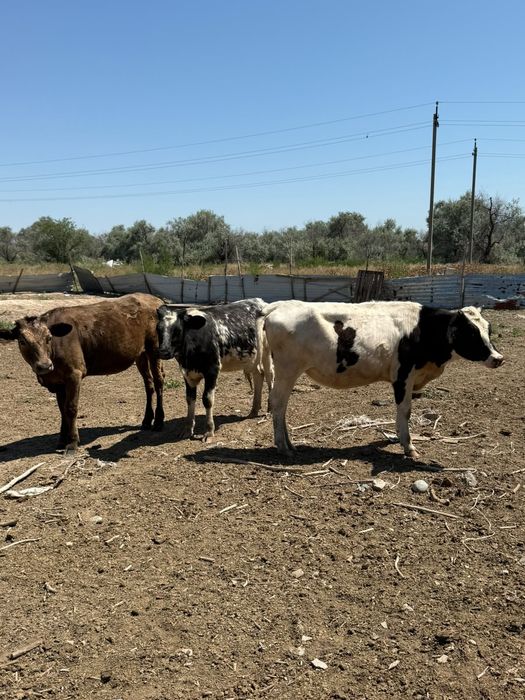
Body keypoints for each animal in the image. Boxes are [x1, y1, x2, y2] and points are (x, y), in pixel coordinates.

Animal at [0, 293, 165, 451]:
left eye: (49, 338)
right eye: (22, 341)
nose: (45, 366)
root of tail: (156, 299)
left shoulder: (74, 373)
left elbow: (71, 408)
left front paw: (72, 443)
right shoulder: (58, 382)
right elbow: (62, 410)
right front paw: (62, 440)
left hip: (154, 349)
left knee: (158, 382)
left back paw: (158, 421)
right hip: (140, 354)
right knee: (148, 384)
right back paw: (146, 420)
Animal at [157, 298, 273, 439]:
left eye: (177, 330)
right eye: (158, 329)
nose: (164, 352)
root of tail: (261, 302)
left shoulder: (212, 370)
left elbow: (207, 399)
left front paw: (209, 430)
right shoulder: (187, 374)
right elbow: (190, 399)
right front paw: (188, 429)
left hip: (267, 353)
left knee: (270, 377)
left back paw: (270, 410)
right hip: (253, 358)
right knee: (258, 375)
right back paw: (254, 410)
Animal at [260, 300, 504, 458]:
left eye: (488, 329)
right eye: (470, 333)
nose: (498, 358)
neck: (423, 329)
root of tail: (277, 306)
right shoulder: (403, 375)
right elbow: (405, 411)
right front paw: (409, 446)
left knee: (282, 406)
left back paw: (290, 444)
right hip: (287, 370)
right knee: (278, 403)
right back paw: (283, 447)